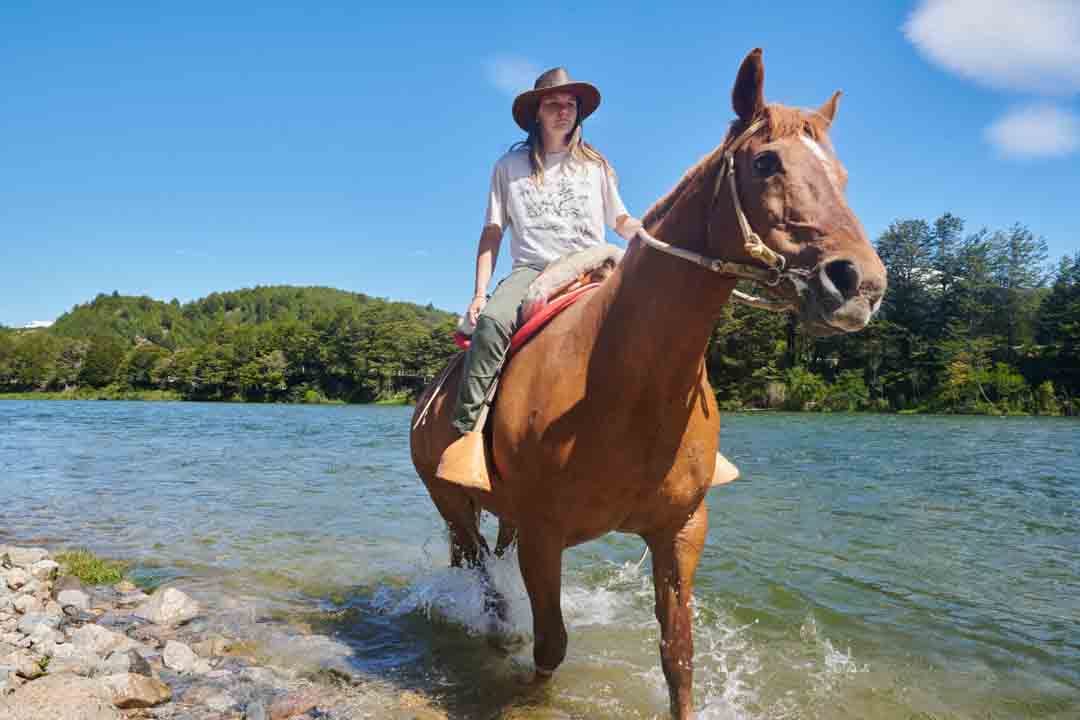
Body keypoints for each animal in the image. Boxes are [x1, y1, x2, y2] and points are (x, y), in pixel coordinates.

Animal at [410, 47, 885, 716]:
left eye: (841, 175)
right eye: (765, 162)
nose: (860, 283)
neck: (621, 380)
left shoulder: (680, 531)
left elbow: (678, 657)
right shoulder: (544, 535)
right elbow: (550, 646)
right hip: (451, 502)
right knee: (480, 576)